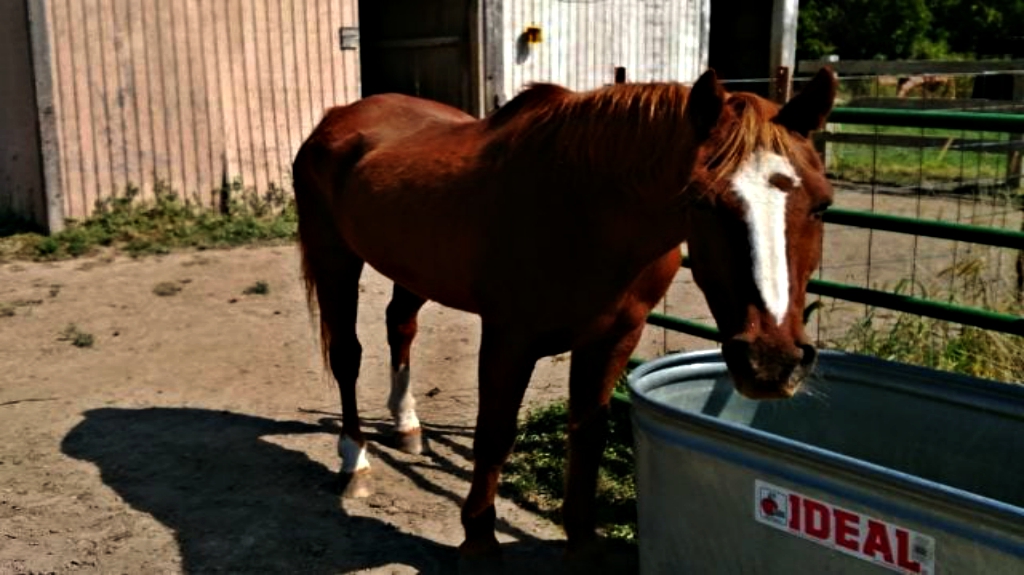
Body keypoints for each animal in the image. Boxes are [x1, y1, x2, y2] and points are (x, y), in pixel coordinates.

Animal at [291, 66, 838, 560]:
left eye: (822, 205)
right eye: (703, 201)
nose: (771, 363)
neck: (586, 206)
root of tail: (337, 118)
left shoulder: (615, 336)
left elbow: (588, 432)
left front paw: (582, 541)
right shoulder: (509, 338)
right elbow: (495, 434)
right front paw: (479, 541)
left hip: (412, 269)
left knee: (400, 325)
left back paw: (407, 426)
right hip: (334, 256)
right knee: (347, 355)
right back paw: (354, 460)